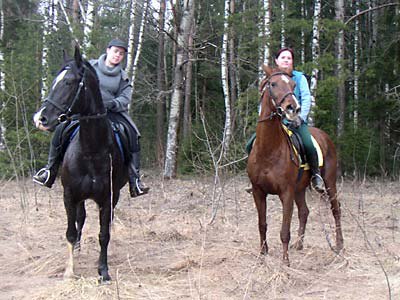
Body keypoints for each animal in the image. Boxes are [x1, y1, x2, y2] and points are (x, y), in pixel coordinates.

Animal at [34, 44, 129, 282]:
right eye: (53, 81)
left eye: (69, 82)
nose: (41, 119)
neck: (91, 150)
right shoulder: (69, 195)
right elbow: (69, 231)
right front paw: (69, 270)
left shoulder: (108, 198)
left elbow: (104, 234)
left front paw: (103, 271)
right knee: (80, 218)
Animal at [247, 65, 344, 264]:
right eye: (273, 84)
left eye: (293, 84)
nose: (293, 107)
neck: (268, 150)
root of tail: (325, 136)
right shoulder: (259, 192)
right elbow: (262, 224)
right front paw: (262, 254)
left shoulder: (286, 192)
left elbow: (285, 230)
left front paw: (285, 261)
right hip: (300, 189)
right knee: (304, 212)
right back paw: (299, 244)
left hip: (329, 182)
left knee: (336, 209)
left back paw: (339, 244)